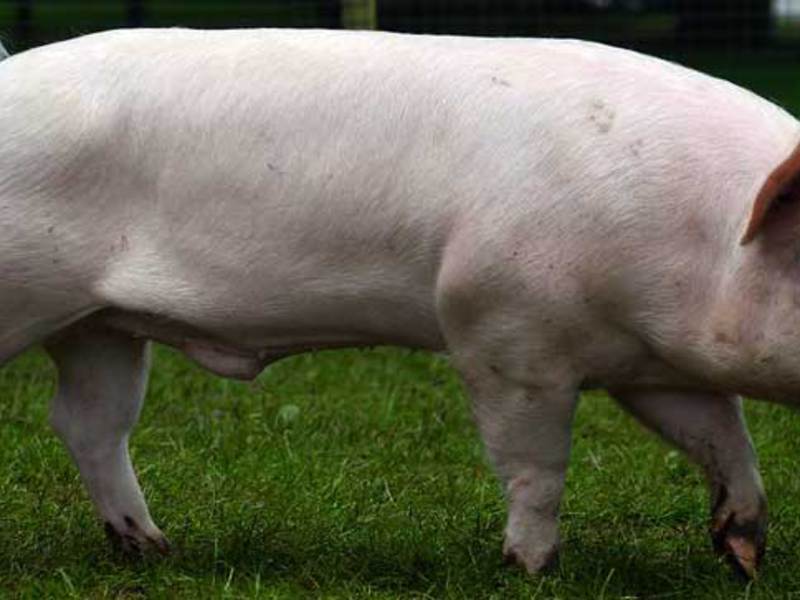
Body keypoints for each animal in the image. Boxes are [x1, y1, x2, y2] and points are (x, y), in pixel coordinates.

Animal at [0, 27, 798, 579]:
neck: (706, 242)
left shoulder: (651, 365)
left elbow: (722, 437)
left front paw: (745, 553)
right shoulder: (500, 330)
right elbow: (536, 465)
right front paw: (534, 568)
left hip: (96, 326)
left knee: (87, 423)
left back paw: (155, 550)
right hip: (28, 298)